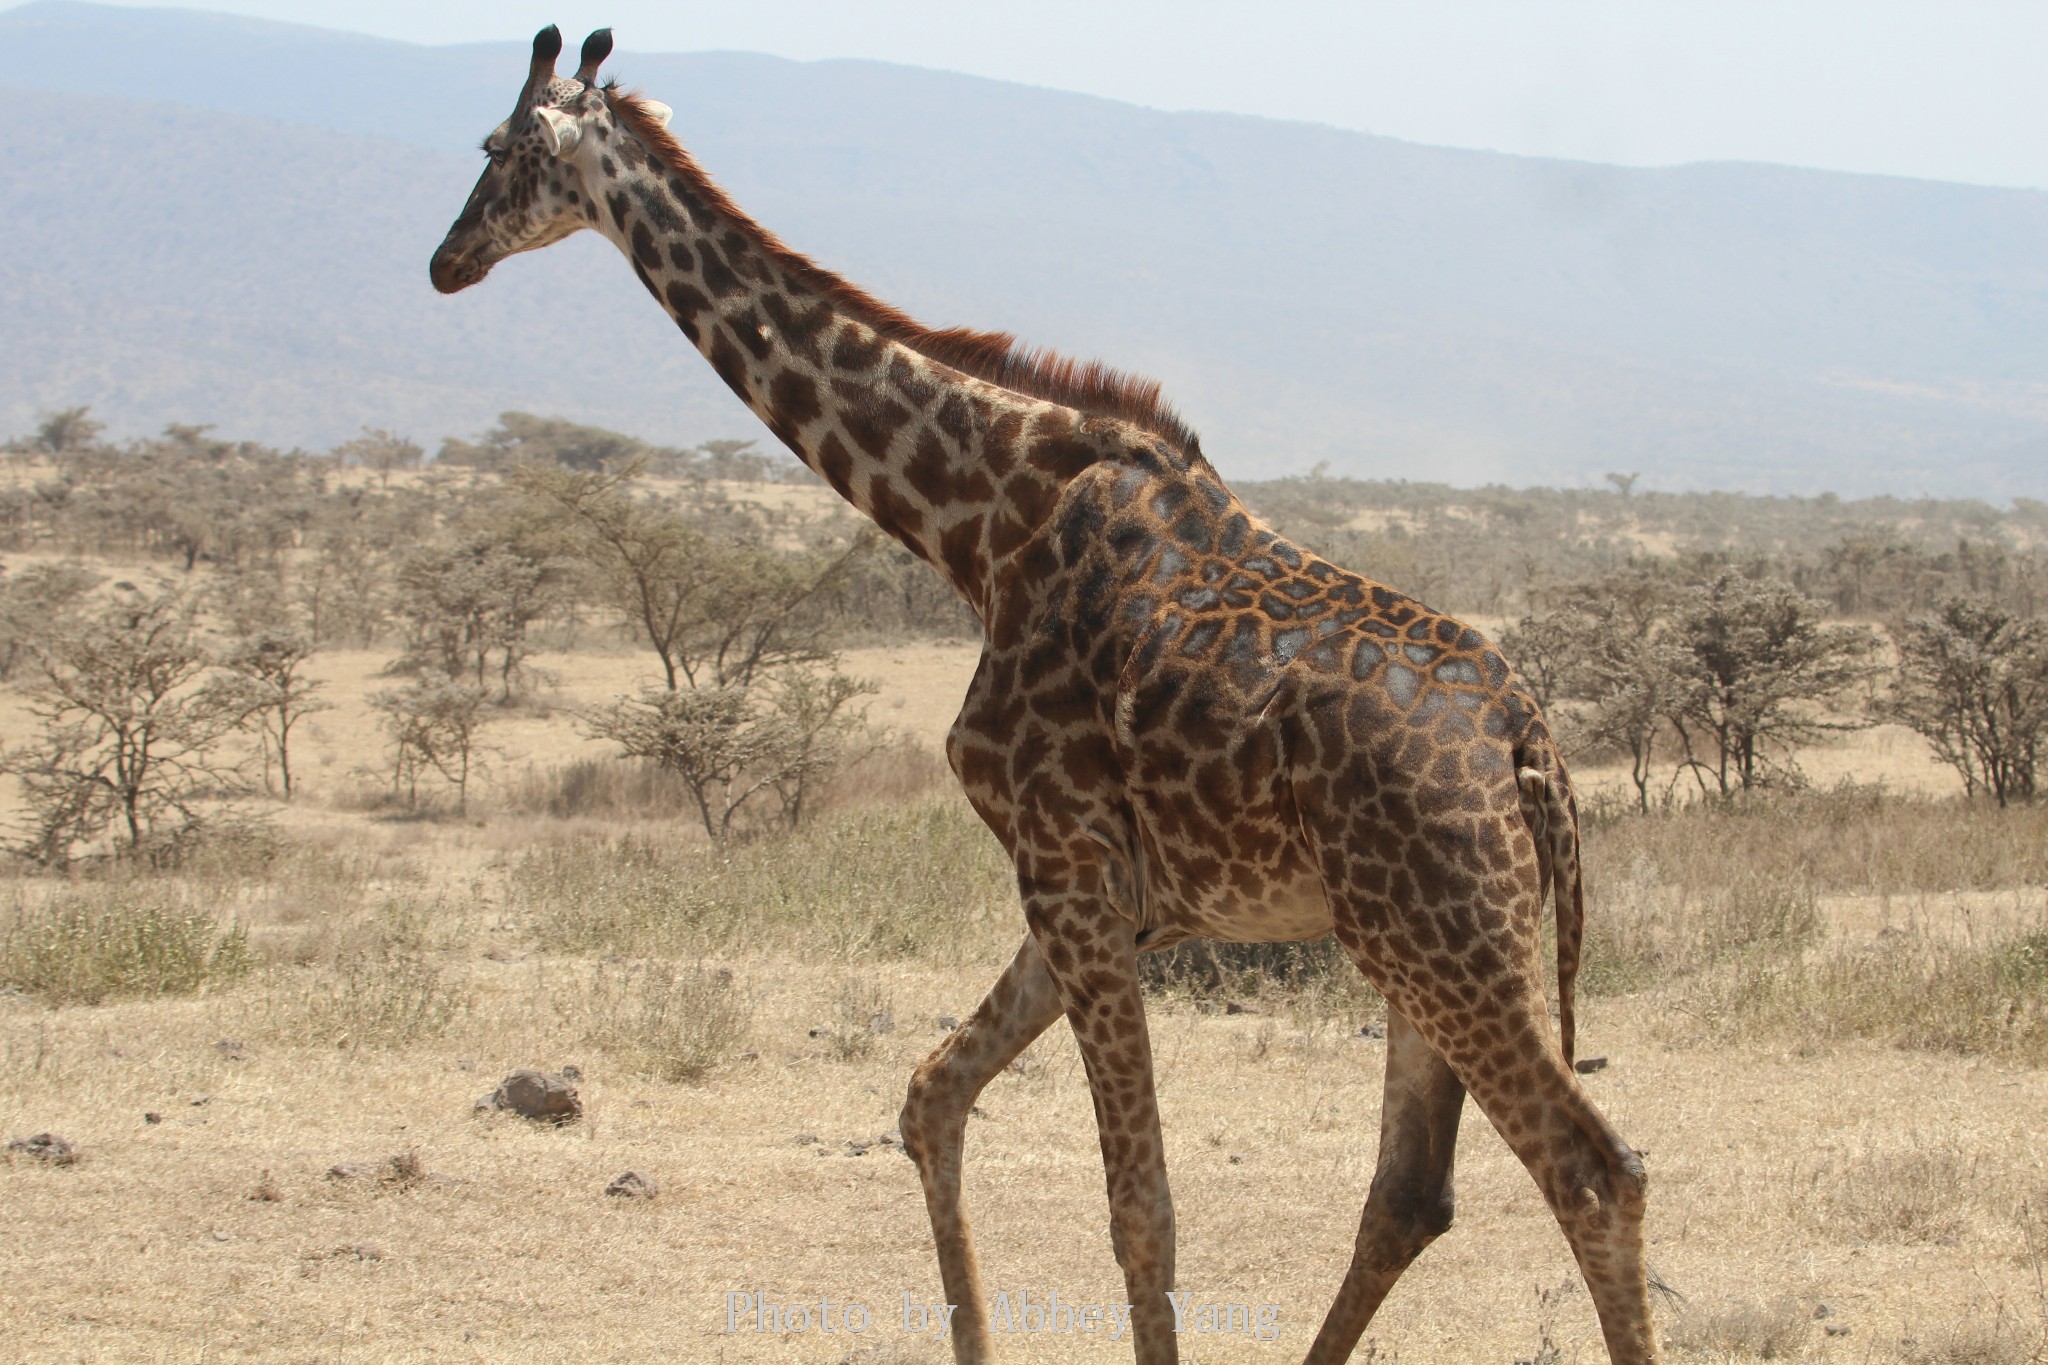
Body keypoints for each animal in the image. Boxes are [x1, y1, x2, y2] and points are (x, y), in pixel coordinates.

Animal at [436, 26, 1662, 1358]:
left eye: (497, 147)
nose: (446, 260)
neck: (982, 524)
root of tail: (1528, 748)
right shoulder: (1102, 894)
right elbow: (930, 1093)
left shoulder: (1066, 870)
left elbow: (1140, 1206)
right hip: (1410, 941)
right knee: (1408, 1193)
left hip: (1447, 939)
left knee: (1590, 1171)